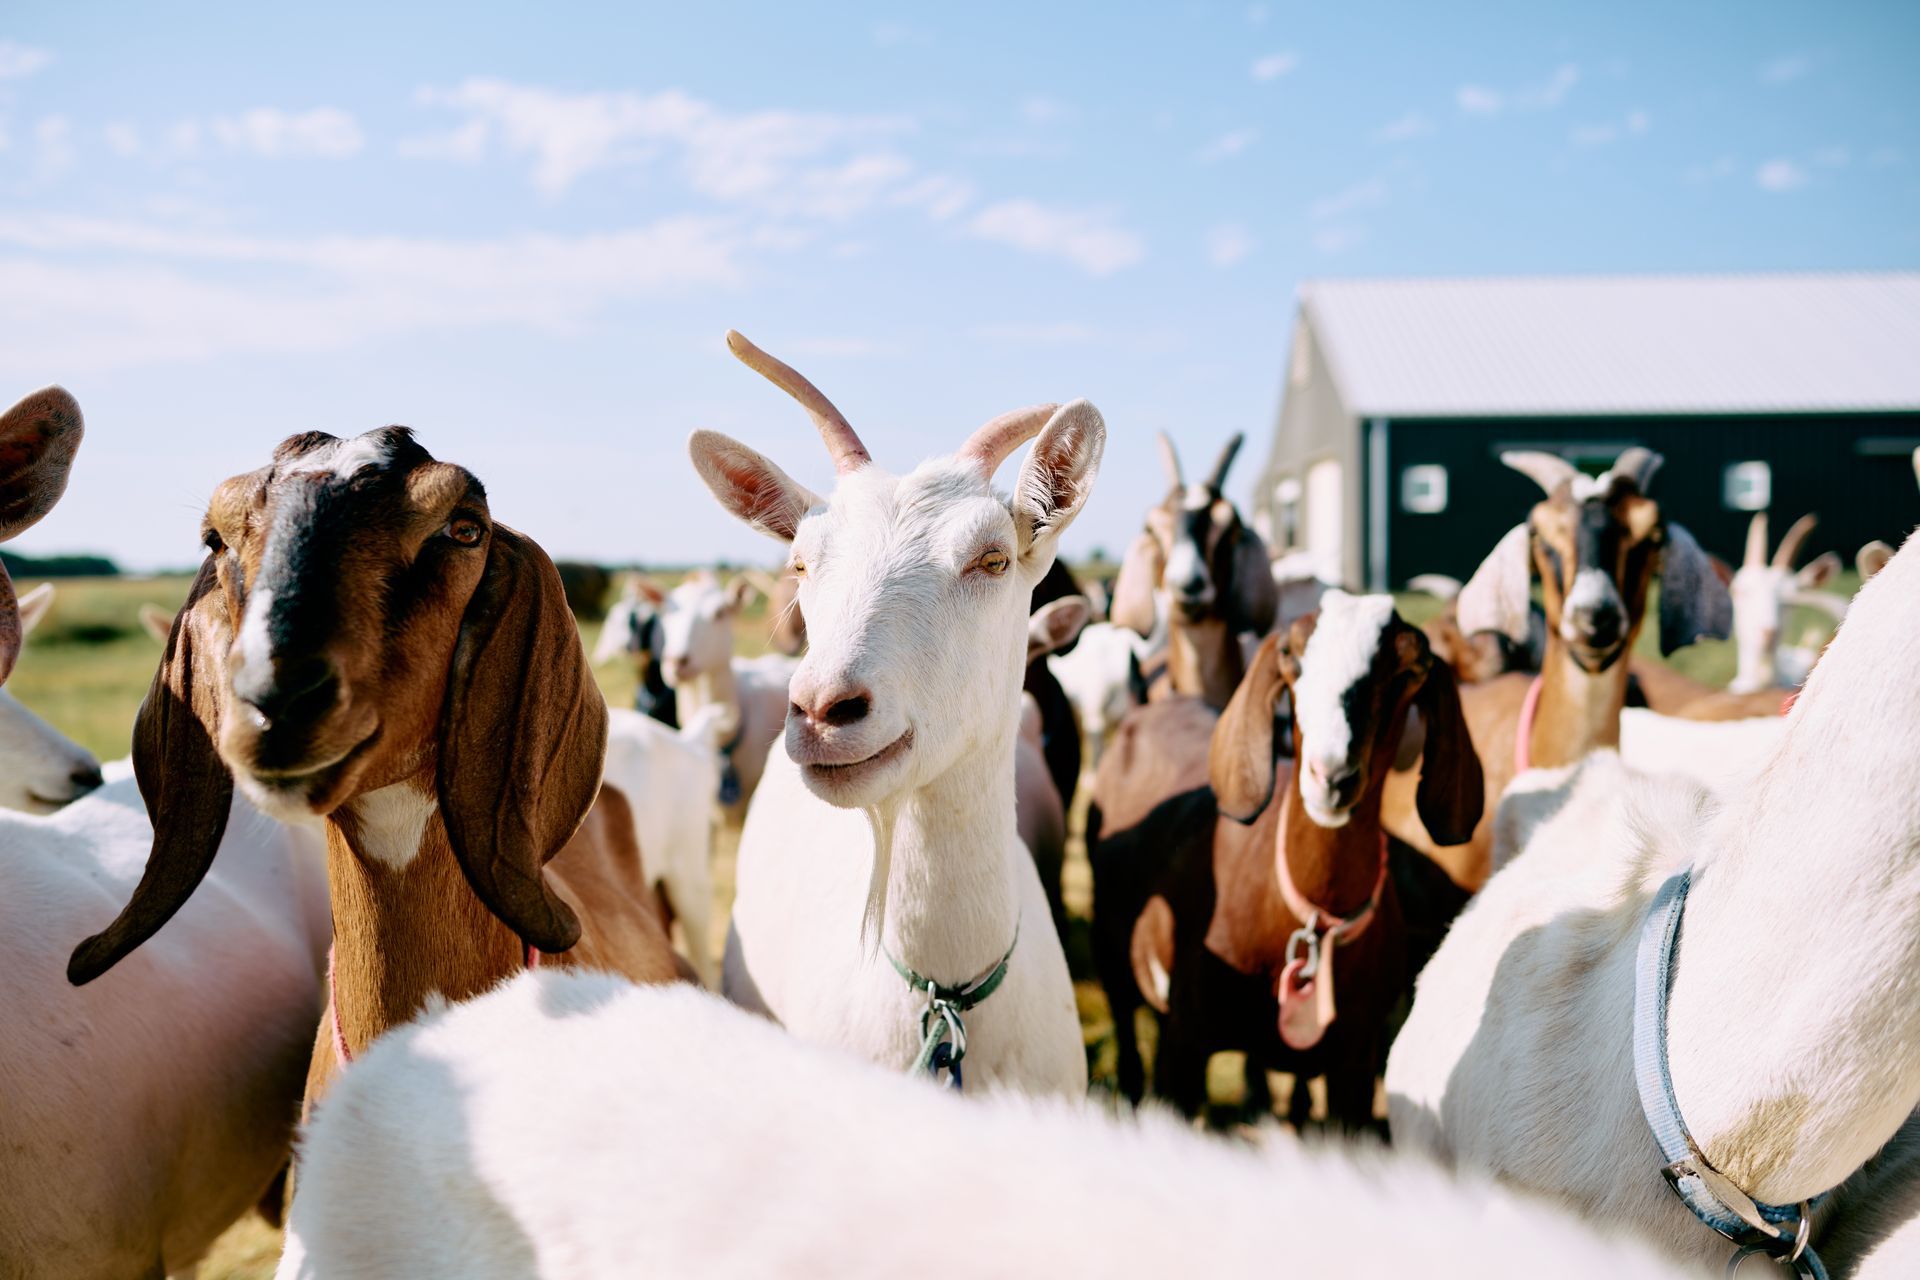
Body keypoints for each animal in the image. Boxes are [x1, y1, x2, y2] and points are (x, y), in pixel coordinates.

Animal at [1099, 594, 1483, 1117]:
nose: (1332, 777)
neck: (1312, 920)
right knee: (1122, 1009)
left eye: (1413, 668)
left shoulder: (1355, 1064)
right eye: (1290, 655)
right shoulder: (1186, 1044)